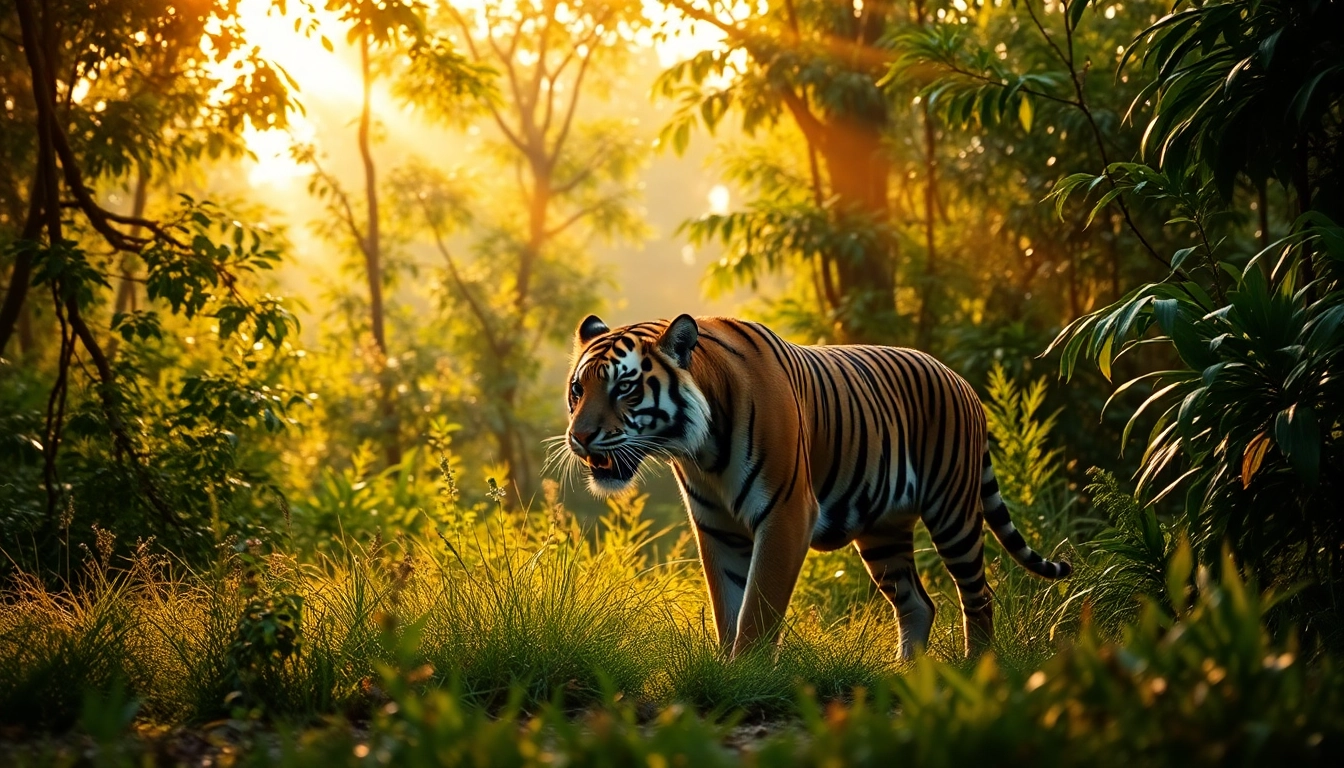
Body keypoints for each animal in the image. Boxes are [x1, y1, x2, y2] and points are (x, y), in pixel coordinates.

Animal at [560, 313, 1071, 659]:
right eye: (578, 390)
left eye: (624, 389)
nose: (579, 438)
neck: (700, 448)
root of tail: (961, 381)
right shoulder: (716, 528)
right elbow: (728, 606)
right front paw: (725, 671)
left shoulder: (786, 514)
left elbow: (757, 608)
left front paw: (744, 673)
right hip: (883, 533)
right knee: (919, 603)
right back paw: (907, 674)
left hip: (954, 513)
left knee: (979, 597)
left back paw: (973, 670)